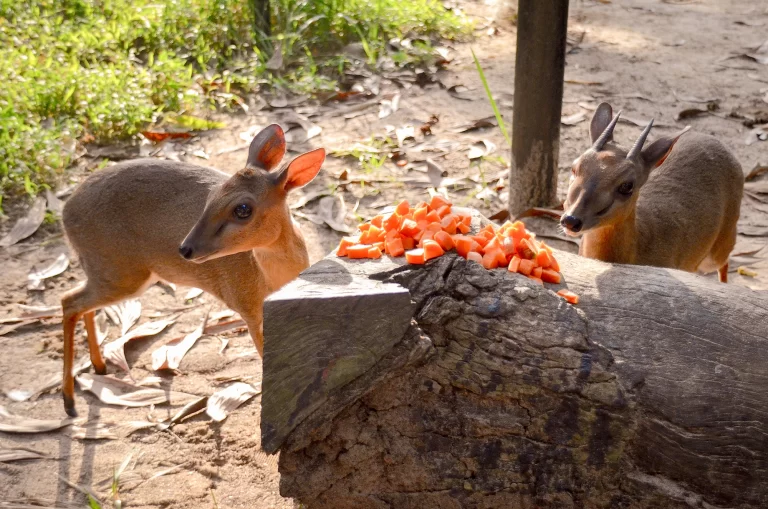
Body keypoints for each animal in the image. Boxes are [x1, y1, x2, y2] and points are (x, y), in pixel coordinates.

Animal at [60, 125, 324, 414]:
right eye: (211, 197)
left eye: (243, 208)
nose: (185, 249)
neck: (272, 278)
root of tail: (65, 211)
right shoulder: (248, 309)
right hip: (120, 273)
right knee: (69, 300)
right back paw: (69, 400)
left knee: (80, 303)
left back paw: (98, 368)